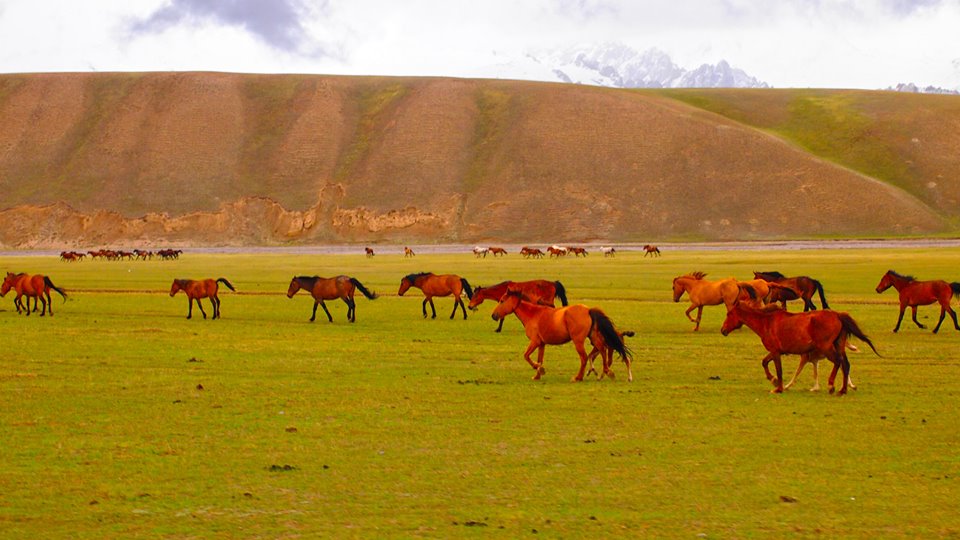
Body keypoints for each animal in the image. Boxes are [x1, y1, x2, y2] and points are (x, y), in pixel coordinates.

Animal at [492, 286, 632, 384]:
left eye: (502, 301)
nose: (494, 315)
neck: (533, 314)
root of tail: (588, 310)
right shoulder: (541, 344)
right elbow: (539, 359)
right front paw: (537, 375)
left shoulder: (534, 342)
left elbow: (526, 356)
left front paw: (539, 369)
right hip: (593, 338)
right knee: (602, 351)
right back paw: (607, 372)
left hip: (578, 341)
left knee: (584, 357)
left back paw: (578, 377)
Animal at [720, 294, 876, 394]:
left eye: (729, 314)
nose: (723, 330)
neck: (766, 321)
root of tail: (837, 315)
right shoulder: (777, 351)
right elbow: (764, 362)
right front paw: (774, 381)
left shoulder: (776, 352)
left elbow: (778, 370)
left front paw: (778, 388)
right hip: (839, 345)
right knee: (845, 364)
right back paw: (843, 390)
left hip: (826, 347)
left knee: (838, 361)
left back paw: (831, 385)